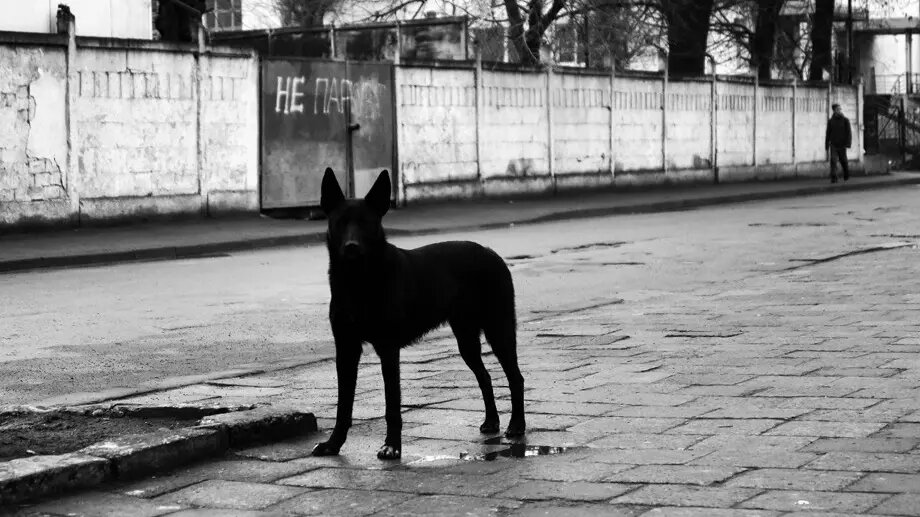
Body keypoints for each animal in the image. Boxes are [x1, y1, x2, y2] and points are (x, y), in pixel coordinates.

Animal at [312, 167, 524, 458]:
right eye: (340, 222)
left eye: (366, 223)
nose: (351, 247)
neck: (360, 281)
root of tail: (492, 253)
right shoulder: (345, 350)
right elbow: (343, 406)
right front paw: (333, 444)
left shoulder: (388, 350)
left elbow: (392, 404)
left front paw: (392, 446)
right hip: (467, 339)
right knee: (485, 376)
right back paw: (492, 421)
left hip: (498, 330)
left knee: (516, 378)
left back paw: (516, 426)